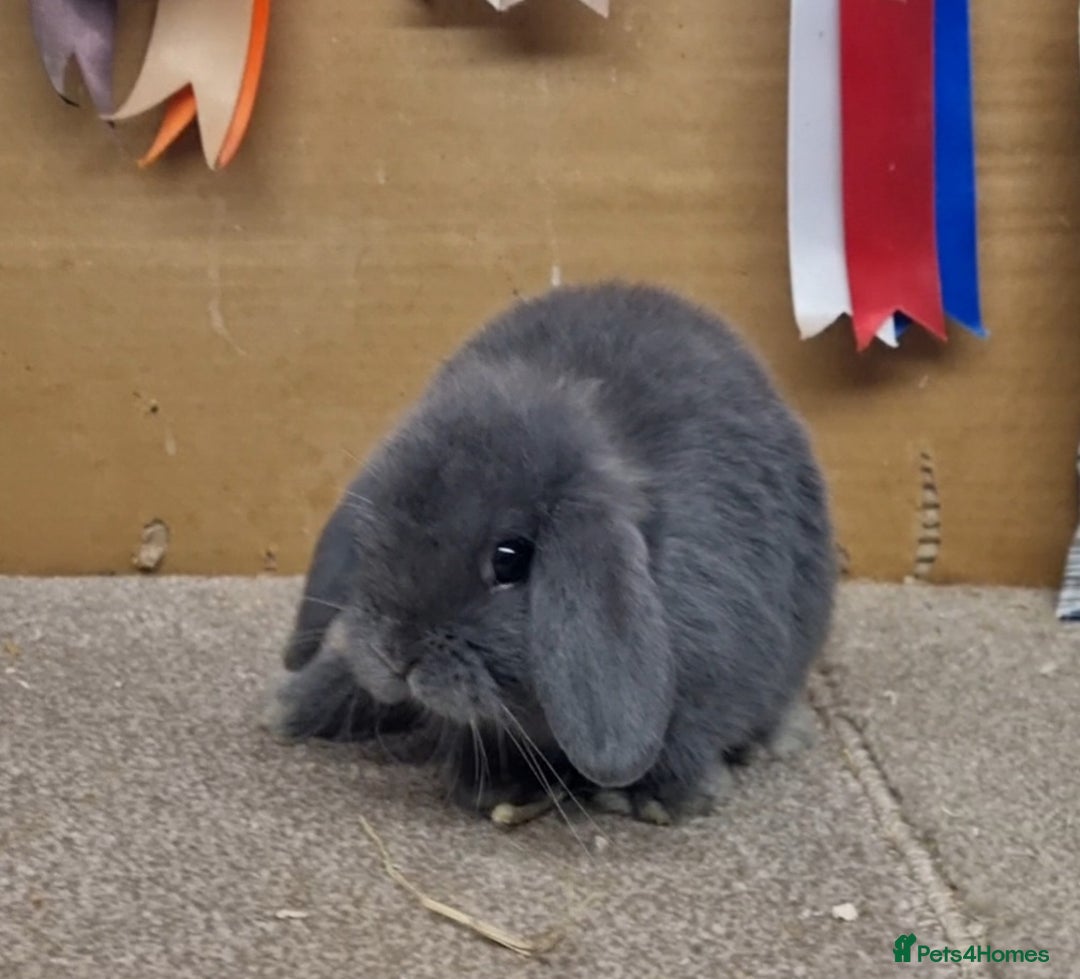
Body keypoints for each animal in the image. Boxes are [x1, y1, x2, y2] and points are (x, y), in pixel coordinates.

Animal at [266, 281, 837, 825]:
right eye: (374, 530)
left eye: (510, 559)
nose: (396, 654)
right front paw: (496, 788)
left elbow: (688, 740)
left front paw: (659, 801)